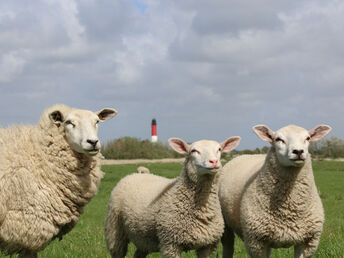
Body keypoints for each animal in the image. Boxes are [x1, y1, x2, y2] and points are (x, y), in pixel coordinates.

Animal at [105, 136, 242, 256]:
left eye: (219, 149)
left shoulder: (207, 246)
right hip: (115, 231)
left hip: (143, 238)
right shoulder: (170, 244)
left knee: (139, 253)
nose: (213, 161)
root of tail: (131, 175)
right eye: (193, 151)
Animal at [219, 124, 332, 256]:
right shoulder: (257, 242)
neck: (288, 208)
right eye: (278, 139)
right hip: (225, 224)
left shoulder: (308, 241)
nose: (298, 151)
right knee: (228, 246)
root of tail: (244, 155)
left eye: (308, 138)